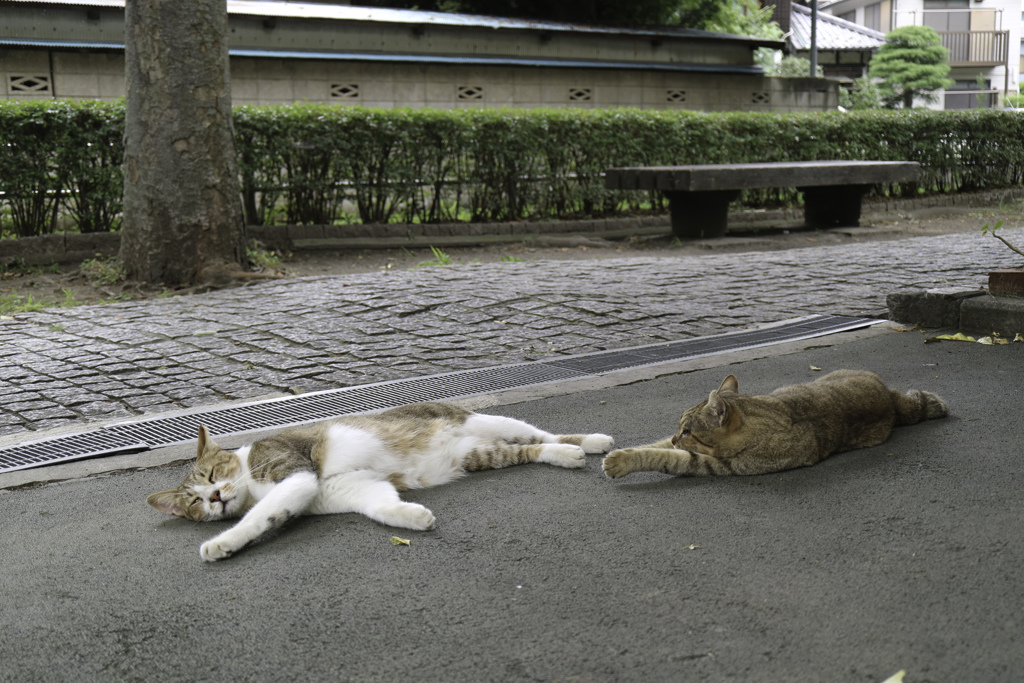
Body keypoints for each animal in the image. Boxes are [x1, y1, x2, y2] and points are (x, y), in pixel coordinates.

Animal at [602, 370, 946, 479]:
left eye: (688, 431)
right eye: (679, 429)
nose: (677, 437)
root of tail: (888, 399)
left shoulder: (720, 465)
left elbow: (665, 456)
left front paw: (621, 461)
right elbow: (657, 443)